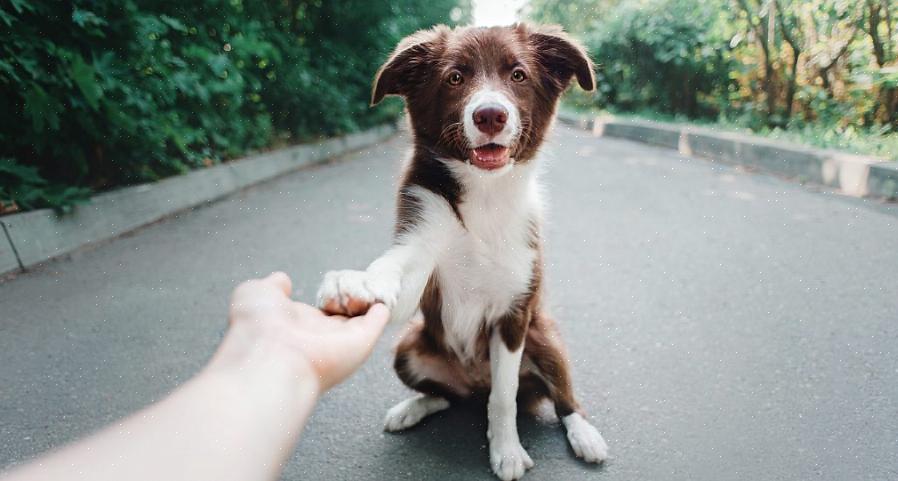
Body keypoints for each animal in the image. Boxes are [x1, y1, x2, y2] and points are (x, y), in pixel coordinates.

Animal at [316, 22, 608, 480]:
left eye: (518, 75)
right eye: (455, 77)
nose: (490, 115)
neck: (484, 198)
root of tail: (472, 384)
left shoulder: (514, 313)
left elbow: (503, 398)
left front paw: (506, 451)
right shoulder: (420, 246)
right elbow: (393, 271)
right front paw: (355, 282)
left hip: (546, 338)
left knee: (561, 399)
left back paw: (585, 435)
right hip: (409, 345)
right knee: (445, 396)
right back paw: (412, 408)